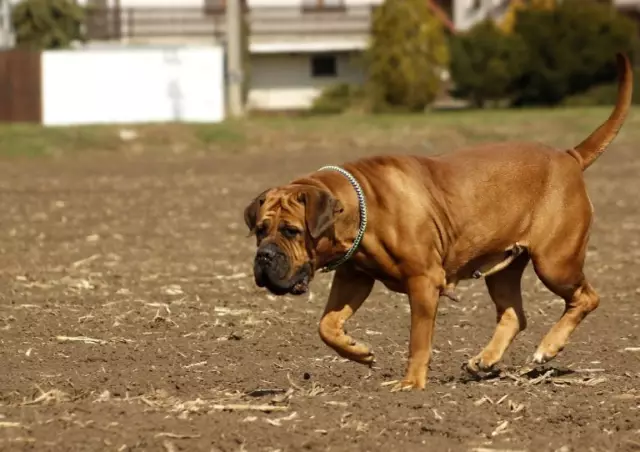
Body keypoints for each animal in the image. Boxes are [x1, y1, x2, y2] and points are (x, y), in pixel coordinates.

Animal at [242, 53, 632, 390]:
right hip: (505, 268)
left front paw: (411, 384)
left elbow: (418, 339)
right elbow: (327, 325)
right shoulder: (355, 277)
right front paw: (359, 351)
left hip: (555, 262)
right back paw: (484, 359)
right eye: (260, 230)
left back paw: (547, 348)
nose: (264, 256)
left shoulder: (423, 282)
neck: (359, 207)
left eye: (291, 231)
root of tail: (569, 157)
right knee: (514, 314)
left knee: (586, 298)